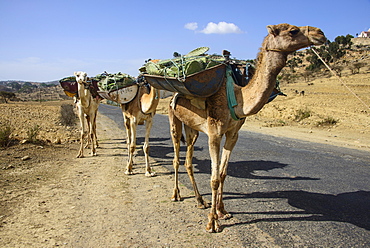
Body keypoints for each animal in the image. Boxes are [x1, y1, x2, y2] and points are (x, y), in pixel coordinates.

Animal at [168, 23, 326, 232]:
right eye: (293, 31)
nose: (320, 34)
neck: (237, 99)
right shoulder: (214, 133)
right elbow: (214, 178)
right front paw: (212, 223)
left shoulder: (233, 134)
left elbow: (223, 173)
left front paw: (222, 211)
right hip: (174, 119)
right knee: (176, 158)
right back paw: (176, 194)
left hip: (191, 127)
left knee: (188, 160)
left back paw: (200, 200)